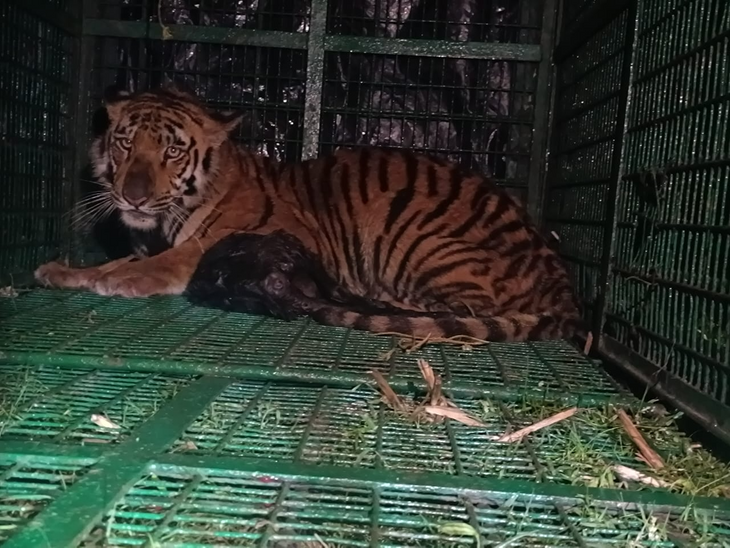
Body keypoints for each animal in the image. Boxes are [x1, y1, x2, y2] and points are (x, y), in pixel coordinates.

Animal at [35, 86, 584, 342]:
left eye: (170, 152)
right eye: (125, 143)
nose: (132, 197)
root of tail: (563, 285)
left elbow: (183, 256)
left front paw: (123, 279)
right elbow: (115, 259)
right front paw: (65, 271)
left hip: (417, 234)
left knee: (458, 309)